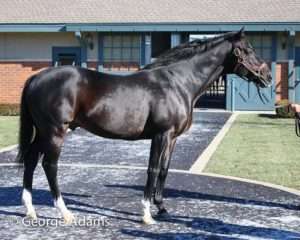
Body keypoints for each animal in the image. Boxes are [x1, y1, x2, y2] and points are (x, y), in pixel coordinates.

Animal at [17, 30, 274, 225]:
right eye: (248, 50)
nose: (267, 76)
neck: (178, 82)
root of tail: (35, 79)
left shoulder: (172, 138)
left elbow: (164, 170)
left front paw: (162, 208)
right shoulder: (161, 135)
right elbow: (152, 169)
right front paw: (146, 214)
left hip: (43, 133)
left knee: (30, 160)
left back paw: (30, 209)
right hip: (55, 133)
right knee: (49, 166)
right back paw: (65, 212)